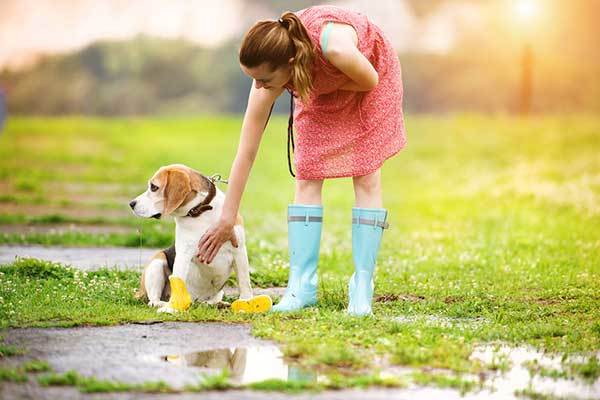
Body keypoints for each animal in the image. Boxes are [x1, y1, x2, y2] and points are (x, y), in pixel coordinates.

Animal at [130, 164, 254, 314]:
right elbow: (178, 279)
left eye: (153, 187)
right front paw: (172, 308)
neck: (200, 212)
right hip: (158, 261)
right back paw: (164, 304)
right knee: (152, 300)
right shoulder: (183, 254)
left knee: (211, 300)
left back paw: (215, 304)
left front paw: (247, 303)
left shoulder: (239, 250)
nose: (131, 203)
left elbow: (245, 281)